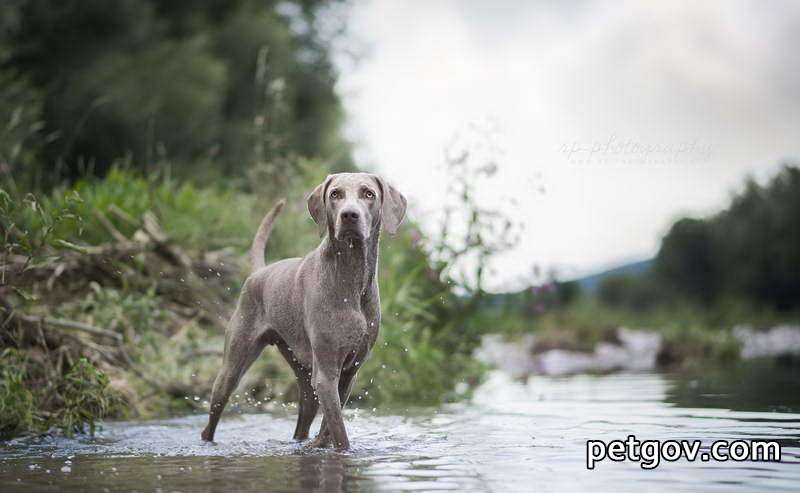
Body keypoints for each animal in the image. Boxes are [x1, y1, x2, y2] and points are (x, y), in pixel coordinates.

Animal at [200, 171, 406, 448]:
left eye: (368, 193)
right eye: (335, 194)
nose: (349, 215)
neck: (351, 278)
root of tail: (258, 272)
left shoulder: (349, 372)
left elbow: (329, 427)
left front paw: (321, 443)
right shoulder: (326, 374)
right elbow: (339, 433)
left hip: (304, 377)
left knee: (302, 423)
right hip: (232, 367)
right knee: (213, 415)